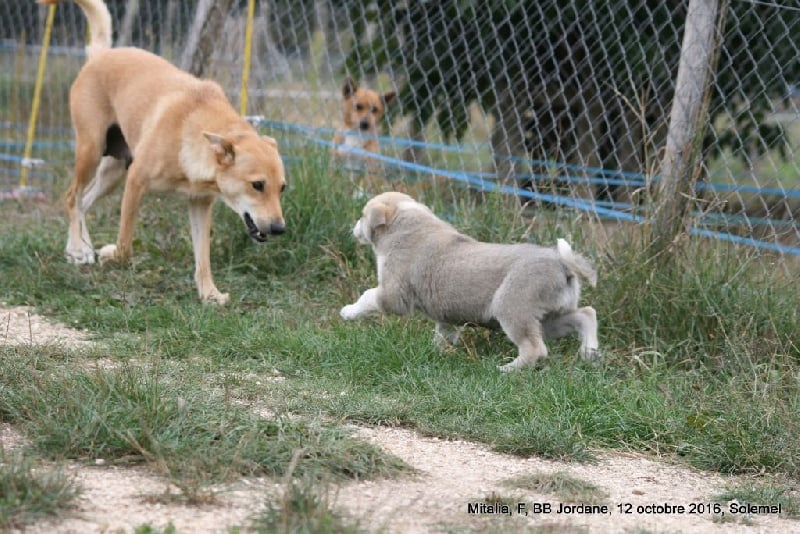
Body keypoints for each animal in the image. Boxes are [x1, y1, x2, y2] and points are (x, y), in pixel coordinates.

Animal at [42, 0, 288, 306]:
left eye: (282, 188)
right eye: (257, 185)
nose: (280, 229)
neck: (191, 131)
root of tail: (100, 55)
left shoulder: (200, 204)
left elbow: (203, 259)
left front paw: (209, 293)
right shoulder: (136, 182)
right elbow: (125, 245)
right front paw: (110, 254)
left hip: (113, 173)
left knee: (82, 203)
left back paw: (77, 248)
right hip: (91, 150)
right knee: (71, 196)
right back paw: (80, 248)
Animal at [340, 193, 600, 372]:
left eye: (362, 215)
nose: (353, 227)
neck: (407, 225)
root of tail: (562, 263)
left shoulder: (394, 295)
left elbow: (367, 295)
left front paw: (348, 312)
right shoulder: (445, 318)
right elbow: (443, 335)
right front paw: (436, 352)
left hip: (512, 308)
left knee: (535, 348)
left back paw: (507, 369)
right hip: (548, 319)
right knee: (586, 314)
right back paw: (589, 351)